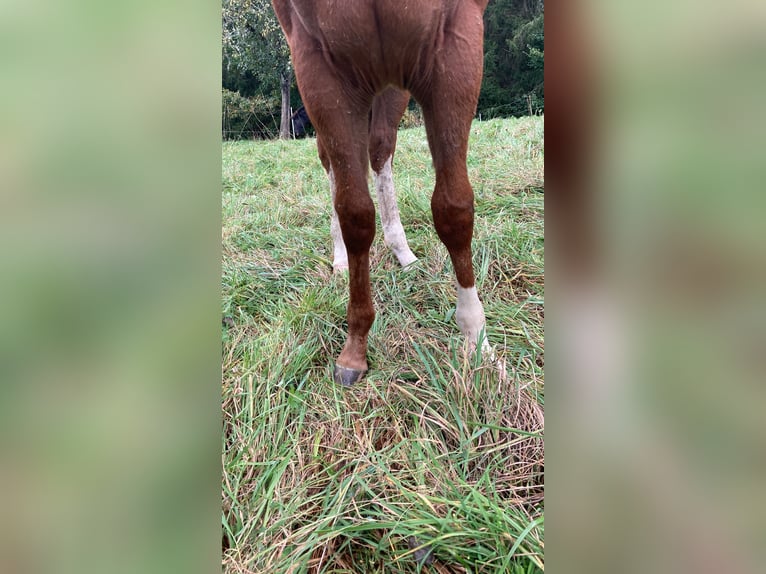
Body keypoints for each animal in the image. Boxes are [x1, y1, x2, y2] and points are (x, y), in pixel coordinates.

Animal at [272, 1, 496, 388]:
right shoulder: (318, 68)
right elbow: (354, 213)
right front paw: (355, 348)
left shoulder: (456, 40)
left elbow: (453, 208)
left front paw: (477, 341)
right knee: (333, 162)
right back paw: (341, 257)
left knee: (379, 149)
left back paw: (402, 251)